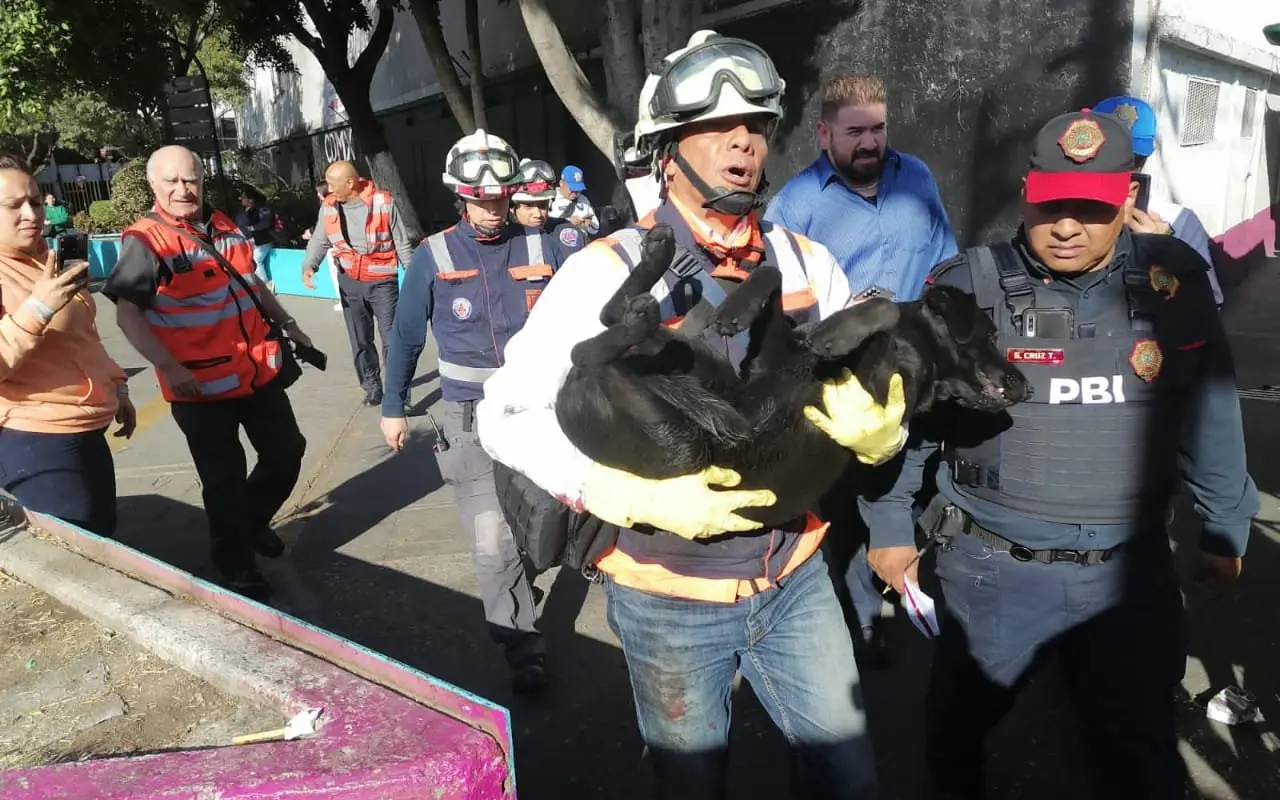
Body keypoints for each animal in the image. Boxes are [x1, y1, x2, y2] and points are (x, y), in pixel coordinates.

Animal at [555, 222, 1034, 529]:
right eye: (992, 333)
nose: (1026, 385)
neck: (915, 346)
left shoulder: (880, 385)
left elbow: (884, 309)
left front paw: (835, 334)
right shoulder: (768, 360)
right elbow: (774, 271)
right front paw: (741, 308)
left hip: (681, 444)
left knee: (589, 350)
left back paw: (637, 314)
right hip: (693, 365)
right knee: (603, 325)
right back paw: (654, 263)